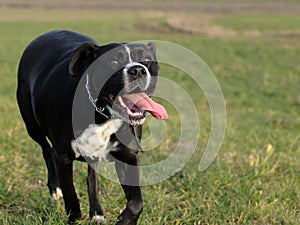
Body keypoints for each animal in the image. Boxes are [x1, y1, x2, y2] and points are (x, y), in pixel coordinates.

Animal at [16, 30, 168, 225]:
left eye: (147, 60)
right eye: (113, 61)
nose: (138, 70)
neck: (103, 115)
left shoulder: (128, 157)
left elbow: (137, 202)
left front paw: (124, 220)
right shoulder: (63, 157)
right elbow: (71, 196)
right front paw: (73, 218)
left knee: (91, 177)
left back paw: (97, 212)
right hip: (32, 125)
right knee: (46, 151)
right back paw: (55, 189)